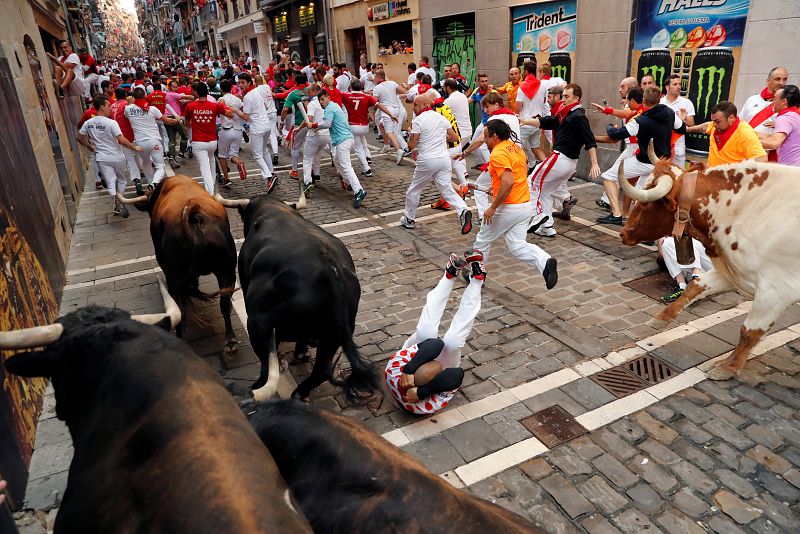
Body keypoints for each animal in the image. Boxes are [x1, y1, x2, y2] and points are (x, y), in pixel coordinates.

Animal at [234, 196, 378, 402]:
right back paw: (299, 391)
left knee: (266, 367)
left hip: (258, 324)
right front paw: (301, 352)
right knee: (321, 371)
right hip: (335, 333)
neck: (274, 208)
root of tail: (329, 267)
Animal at [620, 146, 800, 382]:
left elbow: (749, 331)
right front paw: (660, 319)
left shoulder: (775, 291)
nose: (623, 233)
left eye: (645, 202)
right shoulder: (730, 271)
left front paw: (728, 367)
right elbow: (695, 286)